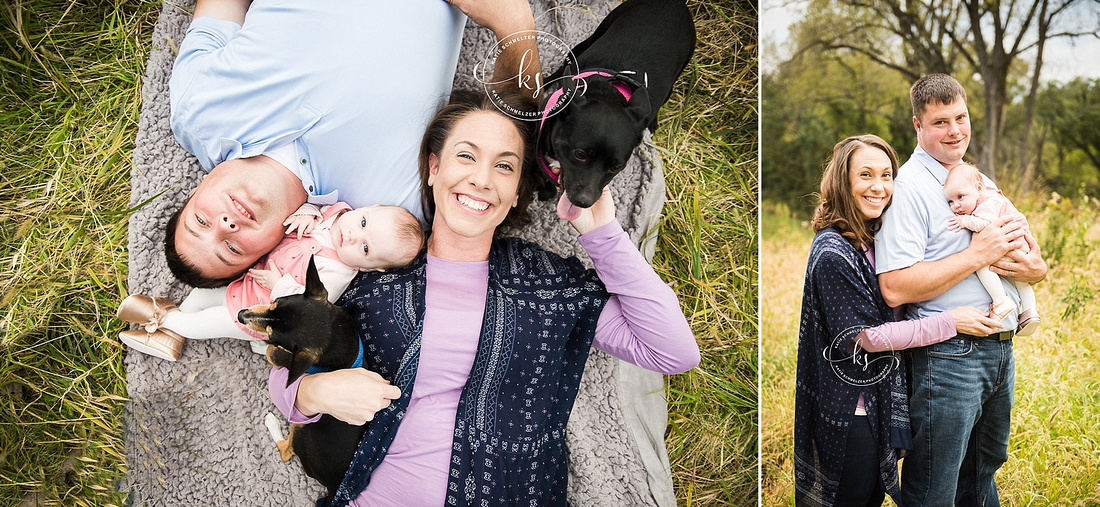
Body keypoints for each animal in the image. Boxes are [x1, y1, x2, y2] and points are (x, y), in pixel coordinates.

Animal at [236, 257, 365, 501]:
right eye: (275, 301)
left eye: (272, 334)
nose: (241, 315)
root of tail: (334, 486)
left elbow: (274, 354)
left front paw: (261, 346)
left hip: (302, 430)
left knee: (286, 452)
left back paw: (273, 424)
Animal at [536, 0, 690, 210]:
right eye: (580, 154)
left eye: (616, 167)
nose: (584, 202)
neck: (607, 91)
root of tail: (675, 3)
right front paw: (546, 190)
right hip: (589, 39)